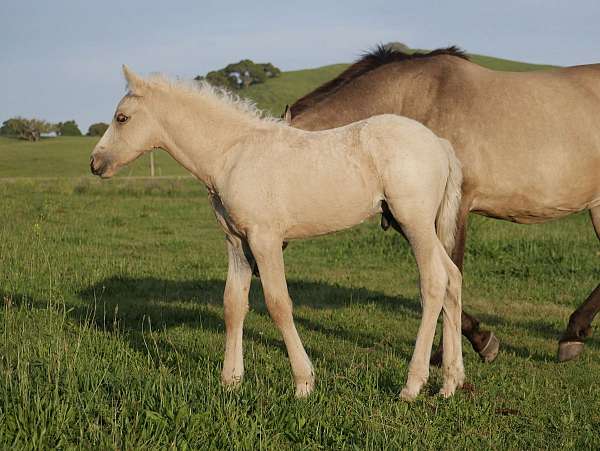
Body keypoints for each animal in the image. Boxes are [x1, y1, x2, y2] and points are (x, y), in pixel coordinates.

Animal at [89, 65, 464, 400]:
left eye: (122, 118)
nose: (95, 163)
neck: (232, 153)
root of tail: (440, 143)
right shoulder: (236, 242)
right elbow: (233, 303)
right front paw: (231, 380)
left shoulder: (265, 239)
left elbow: (278, 303)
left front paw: (303, 382)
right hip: (421, 228)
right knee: (453, 278)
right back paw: (450, 382)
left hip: (414, 224)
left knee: (433, 283)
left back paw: (413, 385)